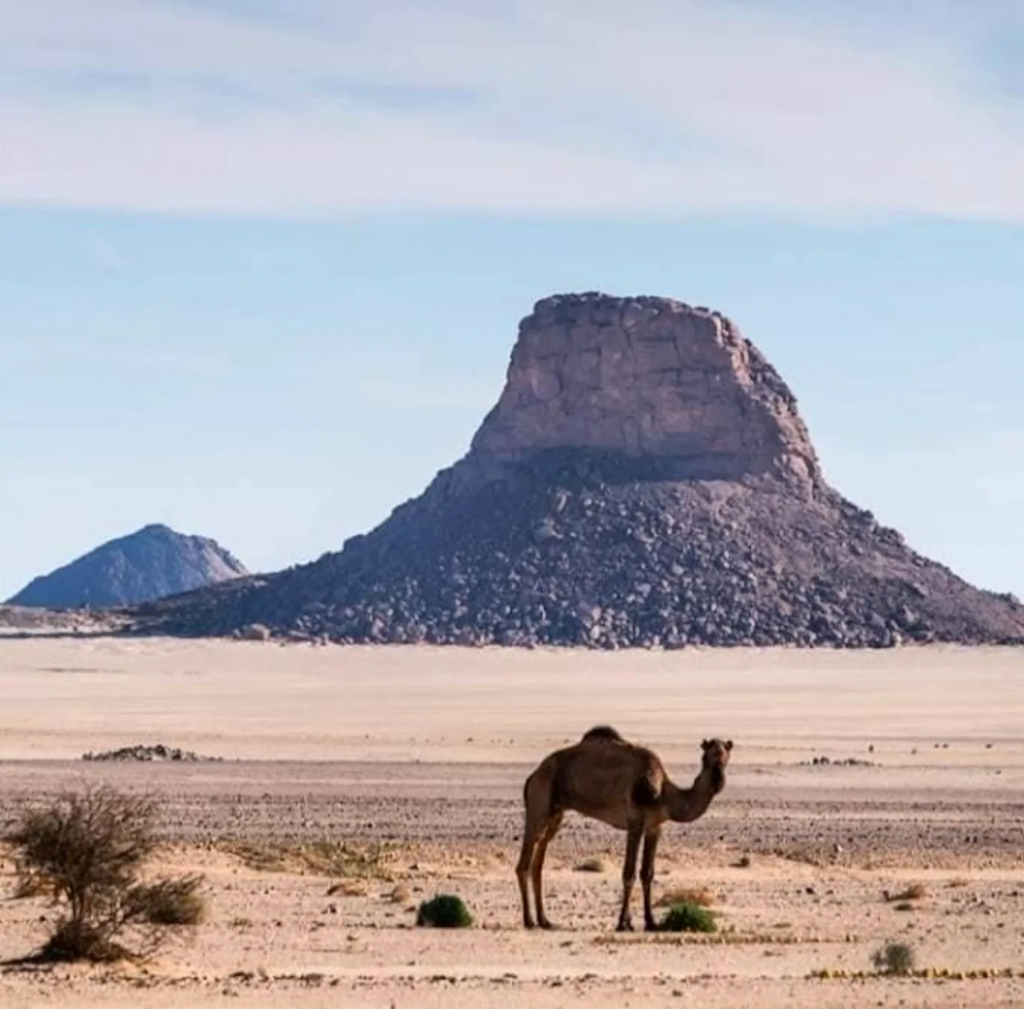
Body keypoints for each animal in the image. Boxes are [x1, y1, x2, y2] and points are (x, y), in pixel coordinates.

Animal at [516, 727, 733, 931]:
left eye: (726, 757)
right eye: (705, 757)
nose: (719, 780)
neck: (663, 793)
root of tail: (532, 776)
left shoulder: (655, 827)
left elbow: (648, 873)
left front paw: (650, 922)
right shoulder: (635, 822)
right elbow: (629, 873)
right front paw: (623, 923)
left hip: (556, 814)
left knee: (538, 860)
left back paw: (544, 920)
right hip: (539, 802)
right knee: (524, 862)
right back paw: (529, 921)